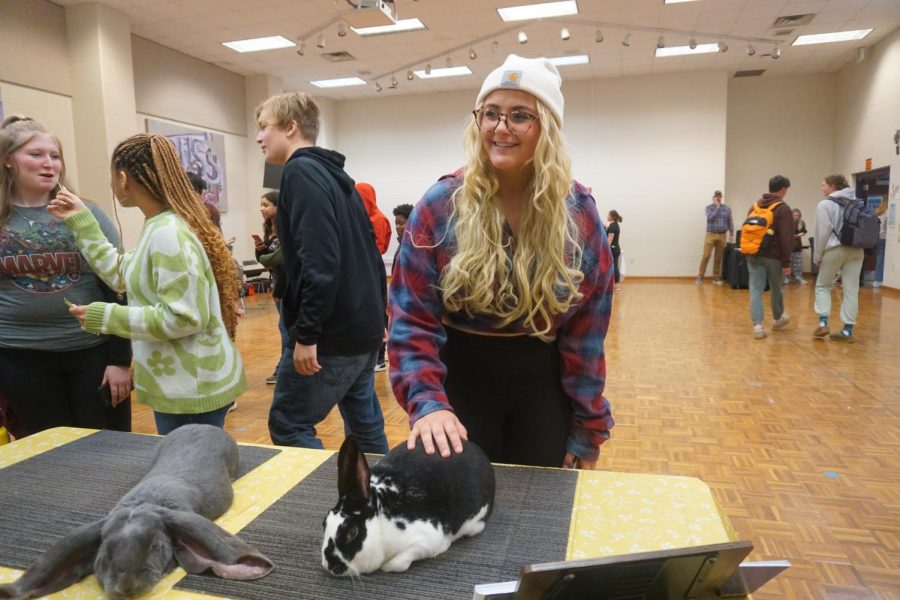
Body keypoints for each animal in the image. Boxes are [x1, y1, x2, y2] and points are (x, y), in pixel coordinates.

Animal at [320, 436, 496, 576]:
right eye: (324, 523)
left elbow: (395, 564)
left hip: (474, 525)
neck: (380, 518)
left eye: (352, 532)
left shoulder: (425, 540)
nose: (330, 566)